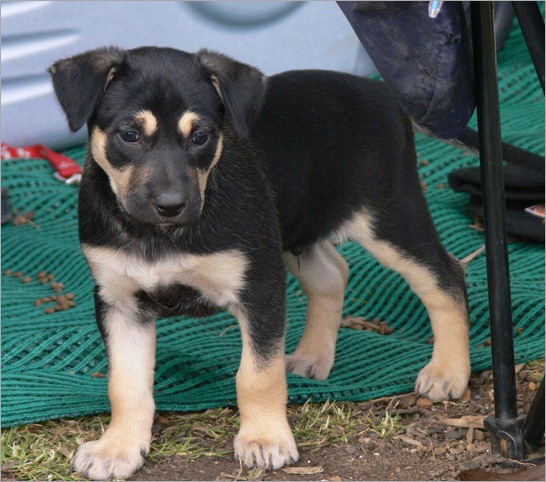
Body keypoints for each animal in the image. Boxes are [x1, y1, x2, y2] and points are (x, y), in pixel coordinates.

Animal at [49, 47, 470, 480]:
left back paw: (447, 371)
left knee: (447, 277)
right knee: (333, 274)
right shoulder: (119, 303)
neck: (160, 235)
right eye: (129, 135)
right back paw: (313, 356)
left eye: (201, 137)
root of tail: (382, 92)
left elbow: (257, 375)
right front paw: (117, 448)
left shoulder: (260, 287)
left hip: (389, 219)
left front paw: (265, 439)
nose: (171, 205)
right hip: (296, 230)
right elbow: (125, 384)